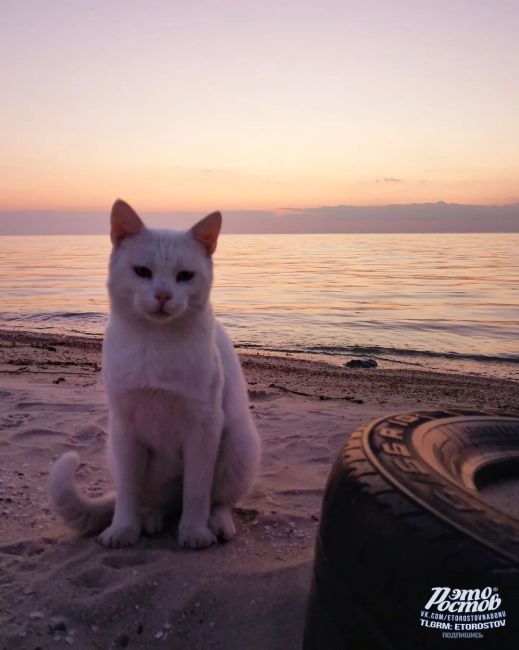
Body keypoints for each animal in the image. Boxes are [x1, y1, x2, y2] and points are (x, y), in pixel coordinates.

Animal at [47, 199, 260, 548]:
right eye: (142, 272)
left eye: (184, 276)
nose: (163, 295)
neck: (156, 343)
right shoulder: (125, 431)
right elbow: (127, 494)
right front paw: (123, 529)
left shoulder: (204, 428)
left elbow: (197, 492)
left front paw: (194, 532)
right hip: (118, 451)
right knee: (149, 499)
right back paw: (149, 520)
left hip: (238, 445)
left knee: (217, 500)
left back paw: (215, 523)